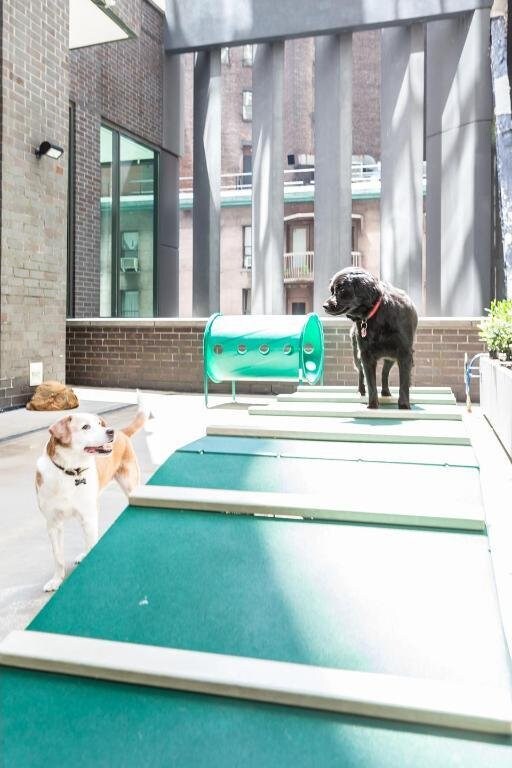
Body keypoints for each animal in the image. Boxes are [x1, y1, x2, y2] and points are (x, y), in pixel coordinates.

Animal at [322, 268, 418, 408]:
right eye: (332, 290)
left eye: (341, 289)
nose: (325, 306)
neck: (376, 314)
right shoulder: (366, 354)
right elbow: (371, 382)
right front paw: (373, 405)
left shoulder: (404, 352)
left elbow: (404, 382)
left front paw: (404, 405)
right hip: (357, 355)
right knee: (361, 373)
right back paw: (361, 390)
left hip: (391, 356)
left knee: (384, 373)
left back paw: (385, 391)